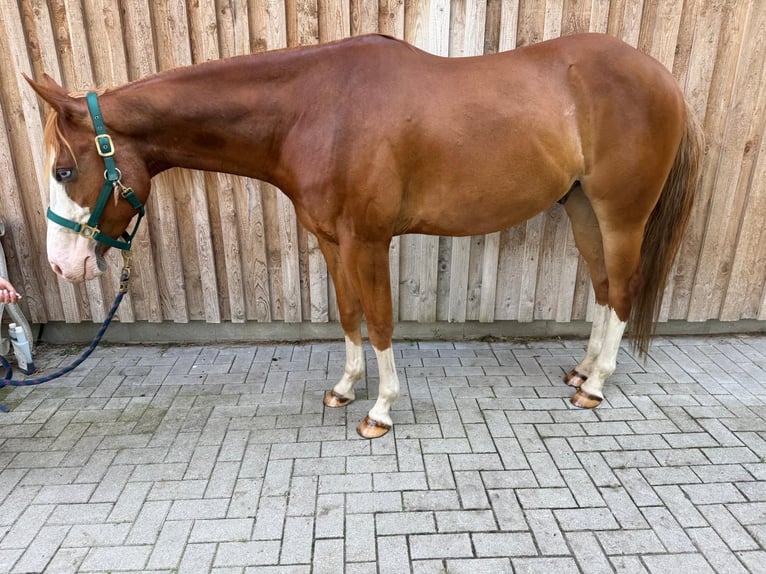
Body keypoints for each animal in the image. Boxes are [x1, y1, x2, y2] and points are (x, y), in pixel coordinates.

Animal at [27, 33, 702, 439]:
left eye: (64, 171)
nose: (62, 265)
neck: (314, 110)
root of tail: (665, 78)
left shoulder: (369, 240)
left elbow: (379, 320)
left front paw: (380, 409)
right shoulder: (332, 240)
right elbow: (349, 314)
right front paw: (345, 389)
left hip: (621, 214)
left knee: (624, 289)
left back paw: (597, 386)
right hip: (582, 207)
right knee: (604, 287)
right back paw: (582, 372)